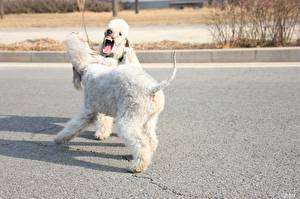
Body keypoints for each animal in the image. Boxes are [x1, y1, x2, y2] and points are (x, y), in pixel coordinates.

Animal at [54, 33, 176, 172]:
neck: (89, 66)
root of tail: (151, 88)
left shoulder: (89, 110)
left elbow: (74, 125)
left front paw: (59, 138)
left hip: (129, 119)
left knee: (141, 143)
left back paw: (137, 166)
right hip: (149, 119)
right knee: (151, 139)